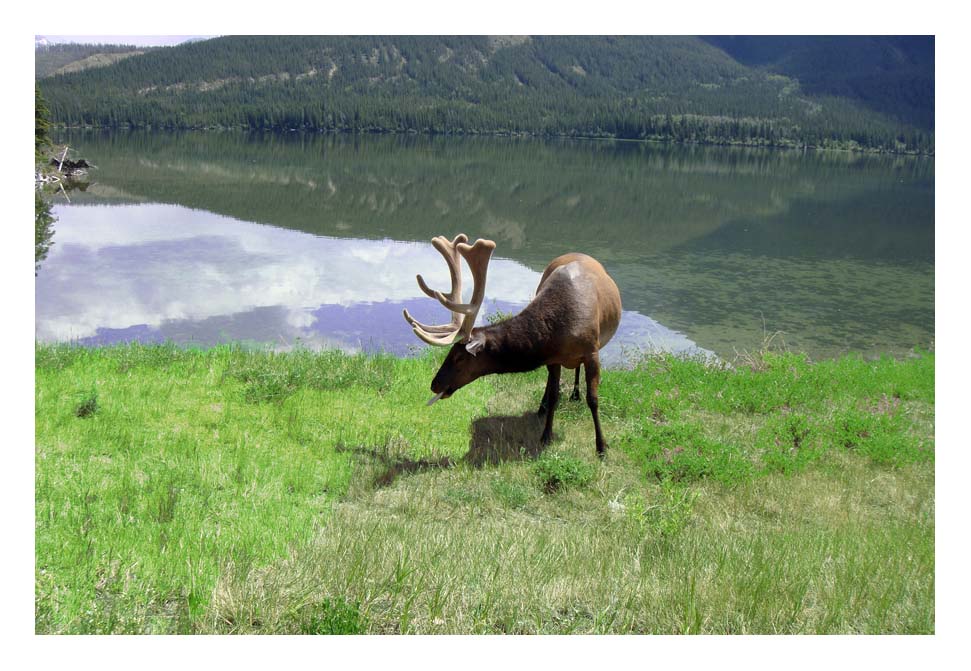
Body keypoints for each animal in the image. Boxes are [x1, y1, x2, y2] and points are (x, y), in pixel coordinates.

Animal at [402, 232, 624, 456]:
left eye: (459, 357)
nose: (434, 384)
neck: (562, 328)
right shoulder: (553, 358)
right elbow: (554, 395)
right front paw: (546, 435)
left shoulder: (592, 352)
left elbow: (593, 399)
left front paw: (601, 447)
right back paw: (543, 407)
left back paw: (575, 395)